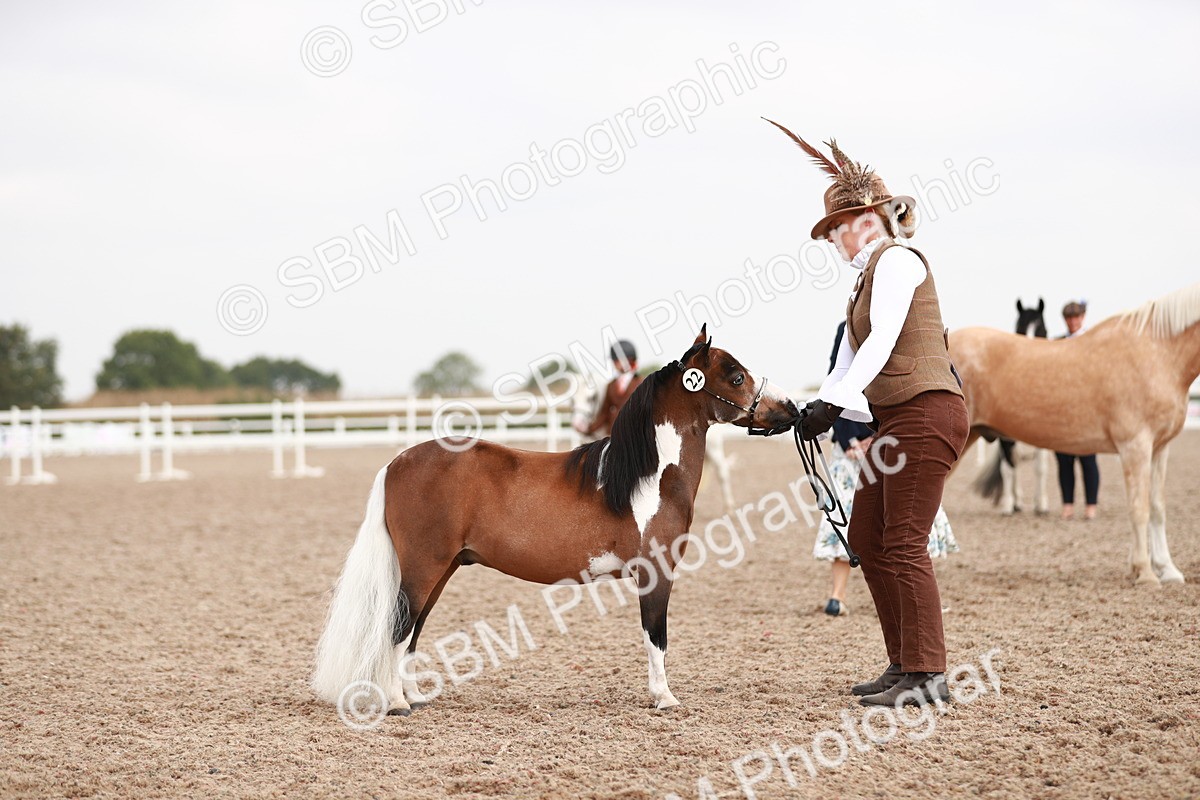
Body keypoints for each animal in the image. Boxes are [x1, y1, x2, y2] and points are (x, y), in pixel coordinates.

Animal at [569, 371, 739, 515]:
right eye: (572, 400)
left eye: (591, 398)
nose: (578, 425)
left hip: (713, 448)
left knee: (722, 471)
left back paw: (729, 508)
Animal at [974, 298, 1051, 514]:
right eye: (1020, 328)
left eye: (1041, 328)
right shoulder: (1005, 438)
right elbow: (1008, 469)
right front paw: (1009, 505)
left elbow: (1040, 469)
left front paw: (1041, 505)